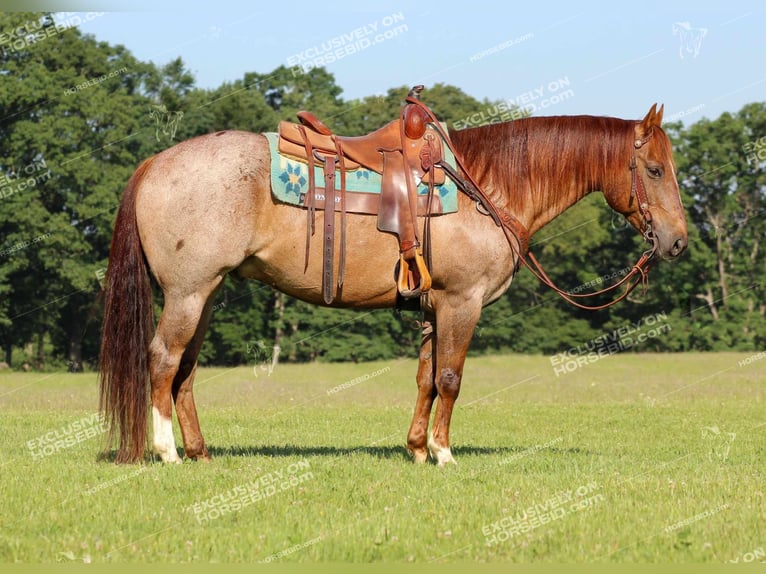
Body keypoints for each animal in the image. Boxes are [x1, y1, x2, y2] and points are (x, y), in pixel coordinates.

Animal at [97, 103, 688, 468]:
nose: (678, 242)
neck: (486, 185)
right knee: (163, 360)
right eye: (655, 170)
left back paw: (199, 452)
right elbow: (450, 378)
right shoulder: (462, 302)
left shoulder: (433, 306)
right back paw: (168, 452)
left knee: (186, 372)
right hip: (189, 293)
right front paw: (445, 453)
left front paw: (418, 449)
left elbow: (426, 379)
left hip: (207, 294)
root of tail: (155, 163)